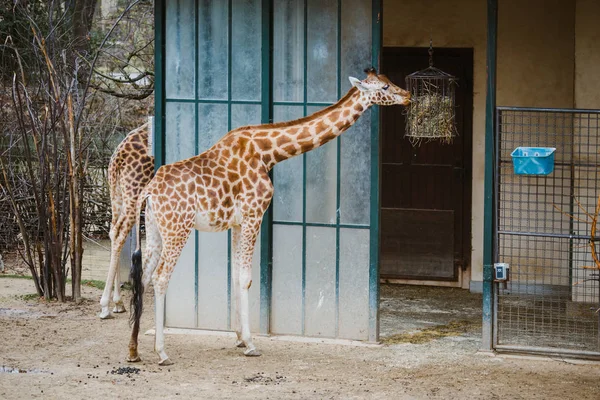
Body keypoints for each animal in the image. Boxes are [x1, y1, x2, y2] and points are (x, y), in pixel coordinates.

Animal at [98, 122, 155, 318]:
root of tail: (117, 158)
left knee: (113, 231)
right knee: (120, 232)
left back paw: (118, 303)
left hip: (116, 192)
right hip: (134, 193)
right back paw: (105, 306)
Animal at [128, 69, 410, 366]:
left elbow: (234, 275)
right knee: (160, 278)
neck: (267, 153)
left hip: (155, 231)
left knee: (143, 278)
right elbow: (246, 278)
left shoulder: (237, 223)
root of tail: (148, 191)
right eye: (384, 87)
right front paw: (251, 344)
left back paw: (134, 349)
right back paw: (161, 352)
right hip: (177, 230)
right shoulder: (255, 214)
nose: (407, 96)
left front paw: (239, 338)